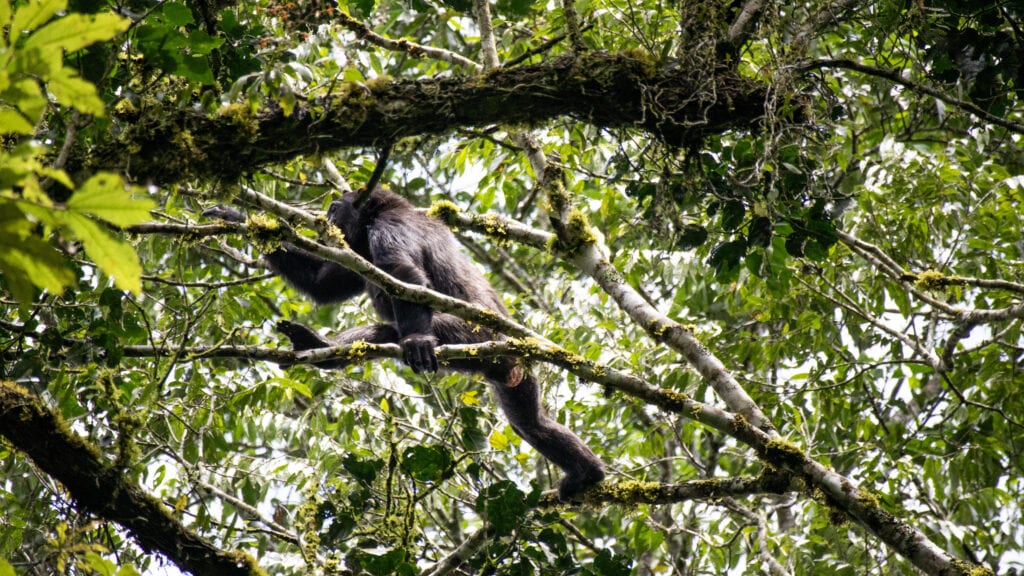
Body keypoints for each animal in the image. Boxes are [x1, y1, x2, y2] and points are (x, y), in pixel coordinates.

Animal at [203, 187, 605, 500]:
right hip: (509, 371)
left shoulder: (389, 230)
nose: (327, 216)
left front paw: (416, 340)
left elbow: (402, 272)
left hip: (474, 337)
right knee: (532, 424)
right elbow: (323, 283)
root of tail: (512, 350)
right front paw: (235, 216)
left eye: (336, 208)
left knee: (395, 330)